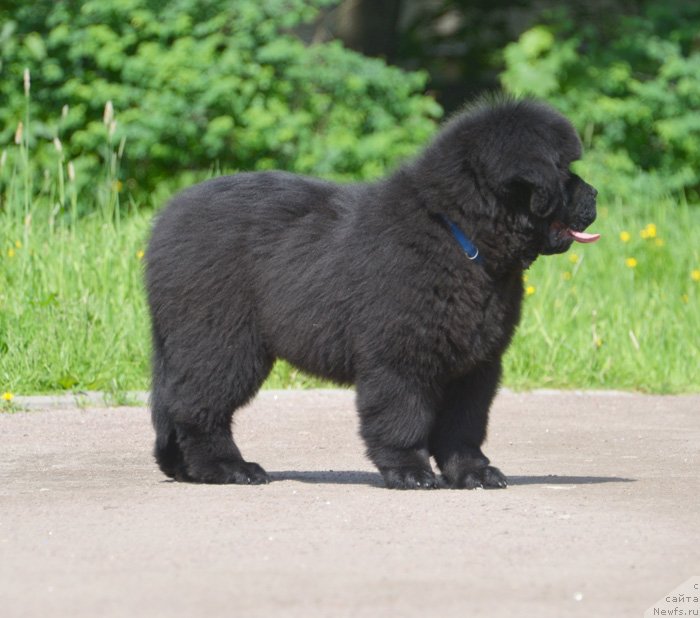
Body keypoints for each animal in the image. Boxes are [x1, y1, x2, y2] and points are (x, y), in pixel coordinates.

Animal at [145, 98, 600, 488]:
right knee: (198, 407)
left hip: (186, 342)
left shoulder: (476, 363)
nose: (595, 195)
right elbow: (402, 417)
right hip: (222, 341)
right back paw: (228, 468)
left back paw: (183, 469)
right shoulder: (400, 356)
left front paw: (473, 473)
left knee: (169, 401)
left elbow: (464, 425)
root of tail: (164, 221)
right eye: (563, 171)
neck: (457, 233)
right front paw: (410, 473)